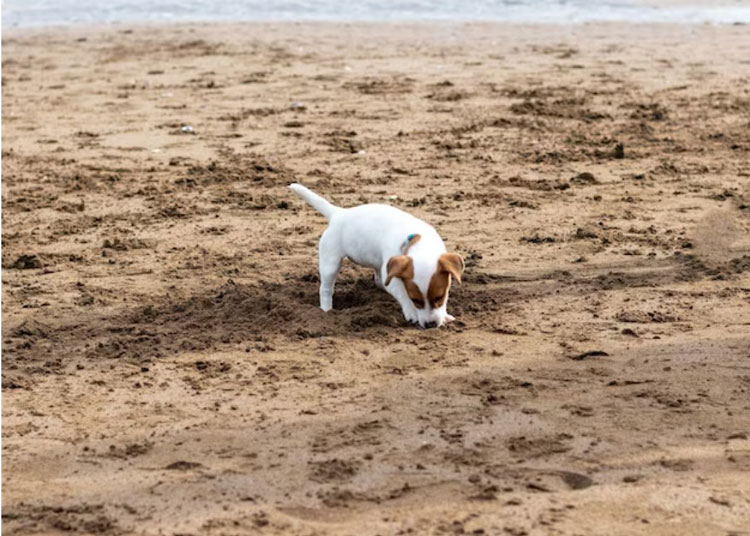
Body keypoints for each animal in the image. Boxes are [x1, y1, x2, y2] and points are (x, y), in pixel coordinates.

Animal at [290, 183, 462, 326]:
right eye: (415, 300)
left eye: (440, 297)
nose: (430, 325)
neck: (418, 242)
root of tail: (339, 214)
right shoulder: (392, 276)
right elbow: (402, 294)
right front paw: (411, 313)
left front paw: (445, 315)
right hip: (330, 263)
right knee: (325, 289)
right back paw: (326, 311)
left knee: (379, 281)